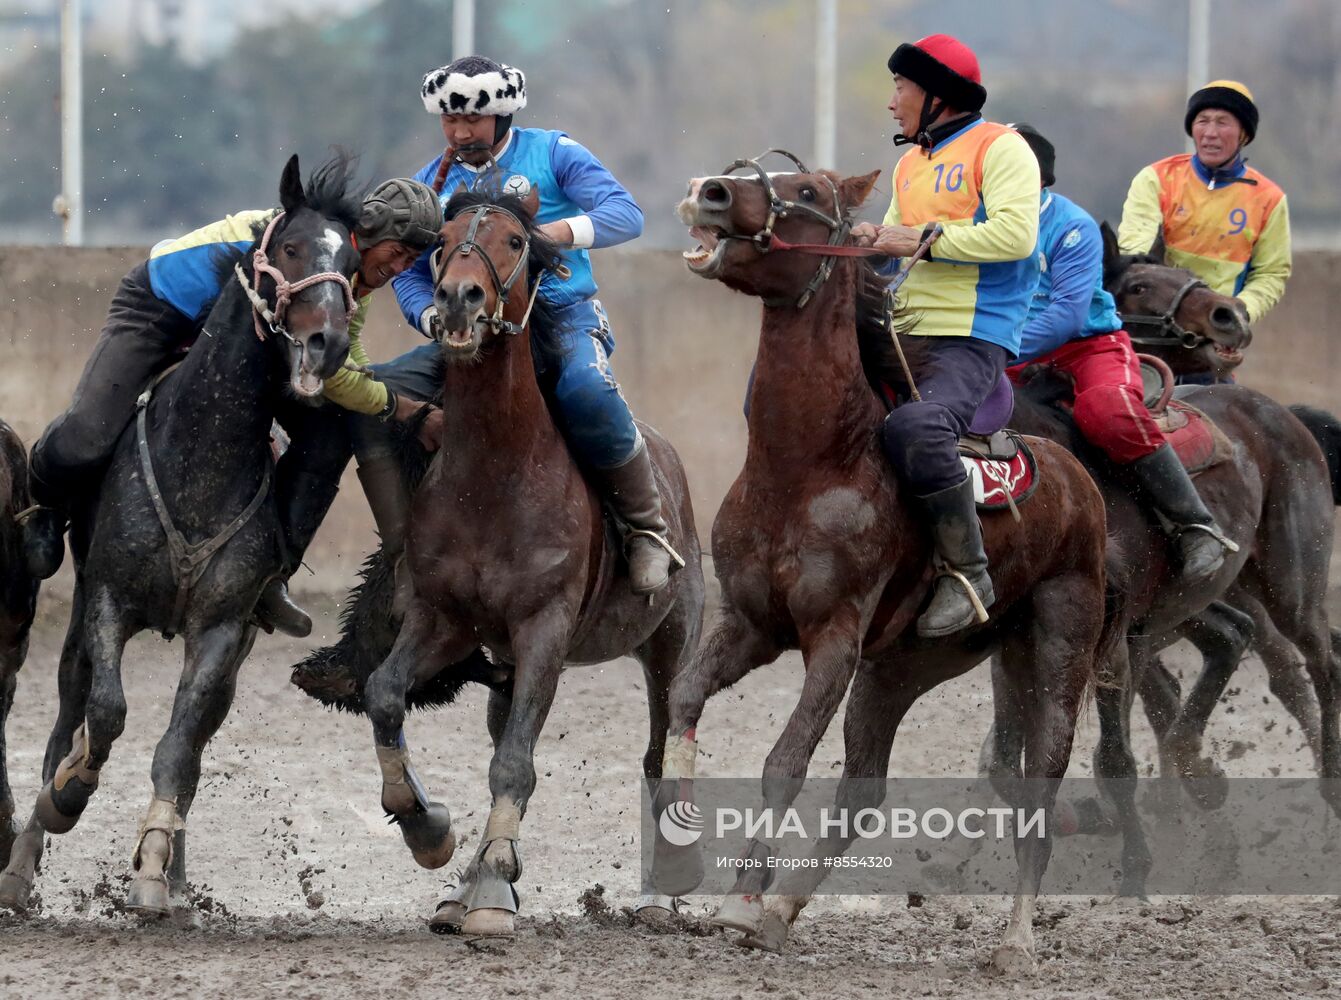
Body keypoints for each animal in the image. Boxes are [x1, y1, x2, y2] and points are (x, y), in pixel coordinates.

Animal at [0, 154, 359, 911]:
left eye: (351, 261)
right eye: (289, 248)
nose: (330, 342)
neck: (200, 455)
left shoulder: (220, 629)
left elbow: (177, 746)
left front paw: (155, 869)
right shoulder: (108, 600)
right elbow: (105, 715)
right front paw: (66, 796)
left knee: (192, 745)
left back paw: (174, 870)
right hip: (75, 624)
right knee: (64, 721)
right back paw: (22, 861)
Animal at [356, 184, 708, 932]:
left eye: (516, 241)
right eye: (440, 241)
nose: (459, 298)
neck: (494, 473)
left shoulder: (543, 627)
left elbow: (516, 763)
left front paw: (493, 886)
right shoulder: (444, 621)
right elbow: (385, 694)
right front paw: (429, 831)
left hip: (669, 643)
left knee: (661, 751)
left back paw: (660, 893)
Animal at [665, 157, 1115, 975]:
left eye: (807, 192)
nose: (708, 191)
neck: (812, 466)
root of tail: (1079, 480)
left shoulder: (834, 642)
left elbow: (784, 760)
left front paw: (740, 899)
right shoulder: (749, 625)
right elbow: (685, 702)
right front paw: (686, 862)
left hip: (1058, 654)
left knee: (1038, 789)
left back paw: (1015, 941)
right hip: (907, 668)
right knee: (863, 794)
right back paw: (784, 912)